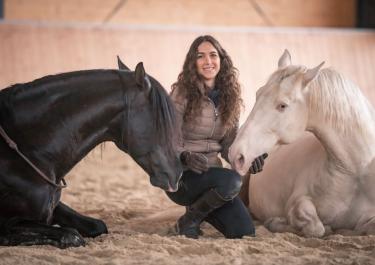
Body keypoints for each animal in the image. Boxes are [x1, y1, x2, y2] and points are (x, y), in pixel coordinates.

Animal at [0, 58, 182, 248]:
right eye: (162, 122)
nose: (177, 175)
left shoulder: (54, 207)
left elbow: (98, 225)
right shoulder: (13, 220)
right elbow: (71, 235)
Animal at [228, 50, 375, 236]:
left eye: (282, 105)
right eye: (258, 94)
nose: (236, 154)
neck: (355, 171)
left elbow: (365, 227)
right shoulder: (297, 201)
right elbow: (315, 227)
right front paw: (276, 222)